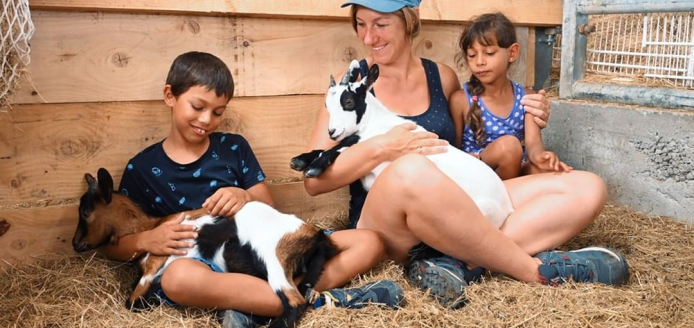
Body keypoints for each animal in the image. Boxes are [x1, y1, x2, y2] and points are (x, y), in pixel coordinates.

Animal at [72, 169, 338, 328]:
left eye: (85, 212)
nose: (75, 243)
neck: (150, 227)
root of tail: (315, 236)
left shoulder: (153, 265)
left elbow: (133, 299)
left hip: (274, 260)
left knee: (294, 302)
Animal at [294, 59, 516, 228]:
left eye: (348, 102)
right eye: (327, 105)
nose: (332, 131)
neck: (375, 122)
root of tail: (507, 206)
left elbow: (338, 147)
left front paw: (312, 168)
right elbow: (327, 147)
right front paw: (299, 160)